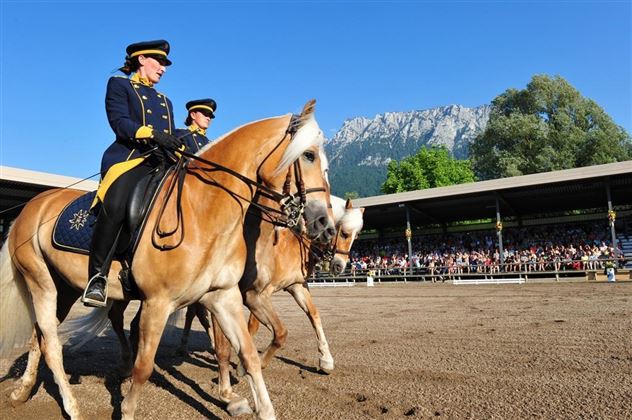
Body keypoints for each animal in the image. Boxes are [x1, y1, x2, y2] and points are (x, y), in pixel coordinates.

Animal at [0, 101, 334, 420]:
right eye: (308, 155)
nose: (323, 222)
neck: (204, 209)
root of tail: (31, 206)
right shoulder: (158, 302)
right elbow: (145, 367)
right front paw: (128, 411)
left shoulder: (223, 296)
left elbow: (247, 355)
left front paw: (253, 404)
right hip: (41, 283)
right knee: (52, 344)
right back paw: (72, 407)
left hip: (65, 289)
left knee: (39, 337)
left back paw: (22, 390)